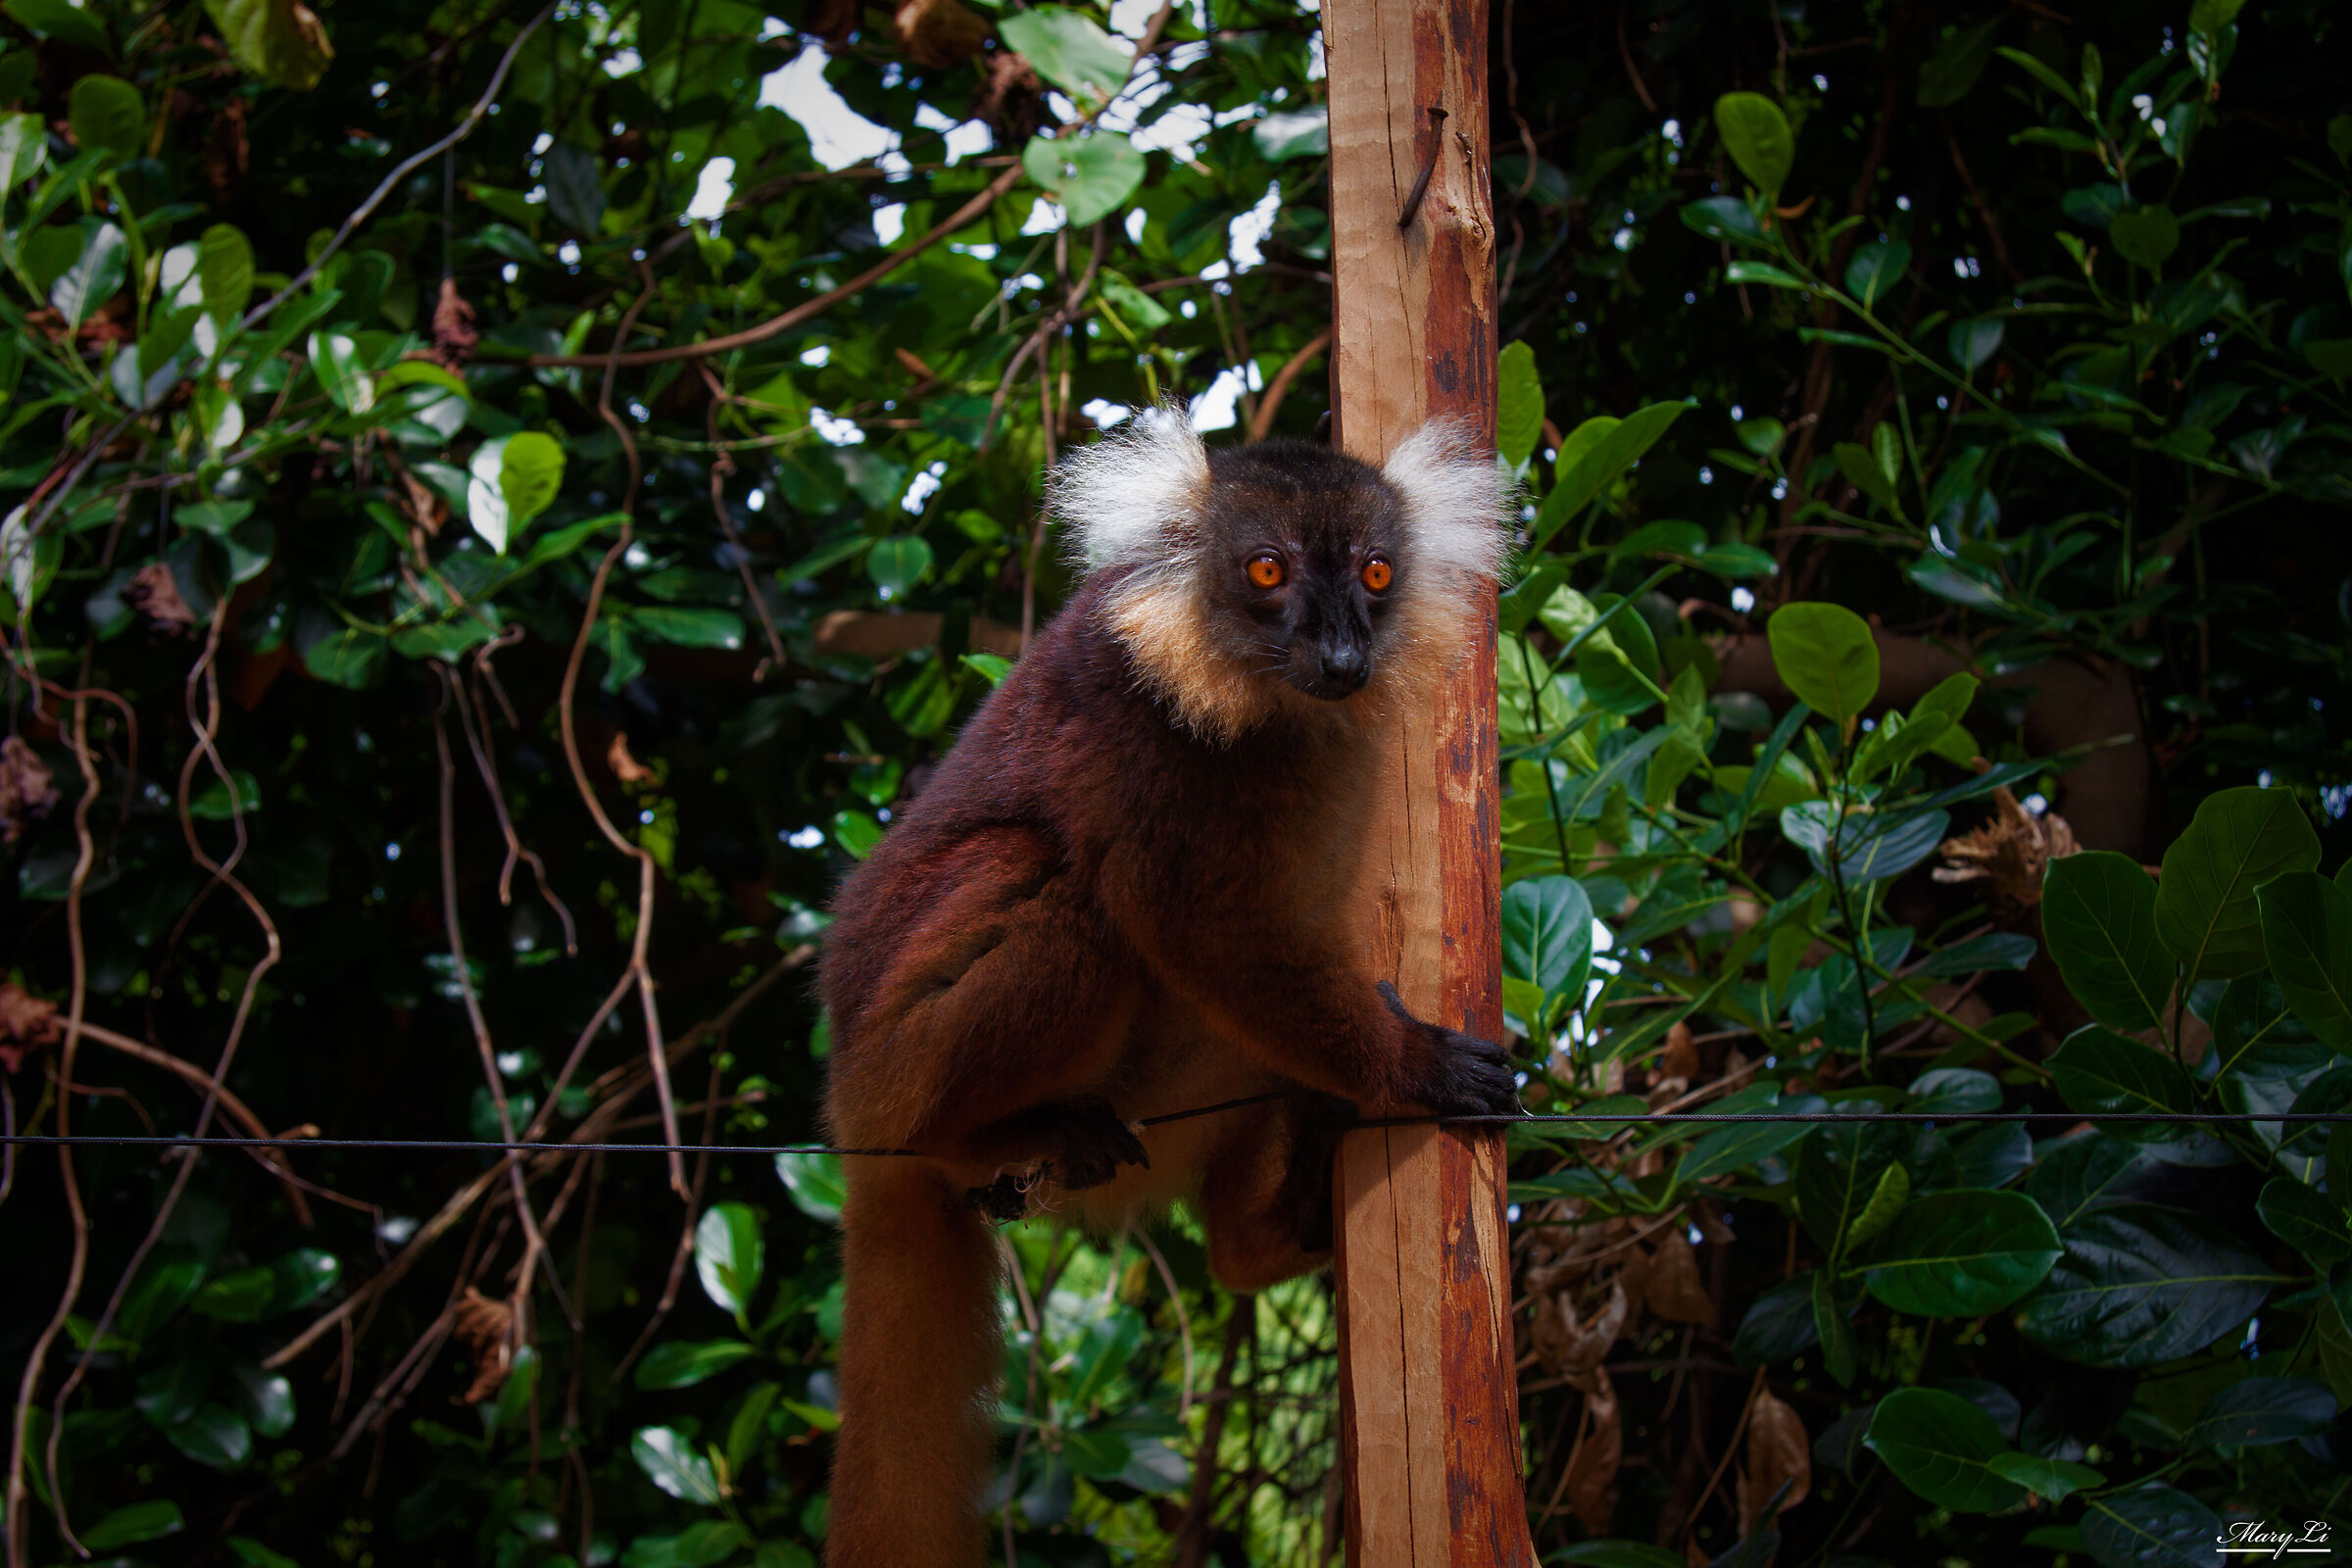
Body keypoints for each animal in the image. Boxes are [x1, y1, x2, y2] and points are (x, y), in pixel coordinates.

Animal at [815, 411, 1522, 1567]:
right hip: (899, 1067)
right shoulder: (1155, 748)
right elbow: (1199, 928)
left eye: (1376, 573)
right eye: (1267, 571)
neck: (1270, 705)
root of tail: (852, 1116)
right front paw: (1415, 1064)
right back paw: (986, 1135)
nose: (1343, 657)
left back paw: (1276, 1217)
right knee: (1063, 895)